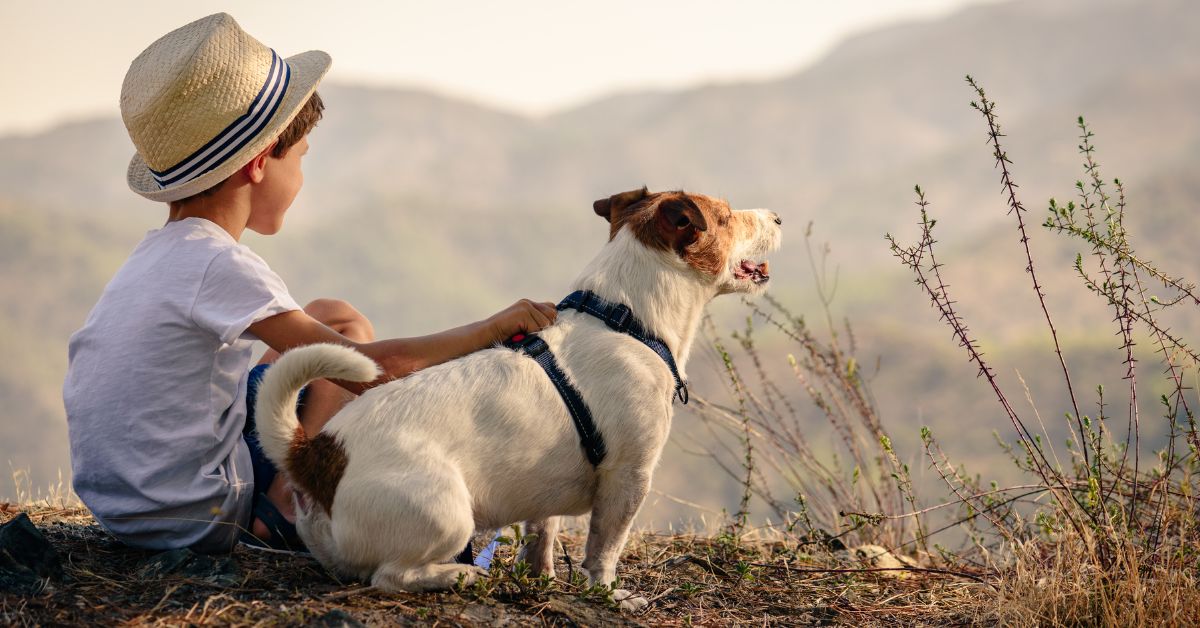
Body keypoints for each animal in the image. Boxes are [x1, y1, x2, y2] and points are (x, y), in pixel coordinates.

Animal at [254, 187, 782, 609]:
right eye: (727, 215)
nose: (779, 217)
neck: (625, 319)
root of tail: (314, 455)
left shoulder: (543, 488)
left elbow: (541, 532)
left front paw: (540, 577)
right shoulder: (629, 476)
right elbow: (605, 549)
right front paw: (609, 594)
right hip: (448, 512)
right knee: (390, 576)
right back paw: (460, 576)